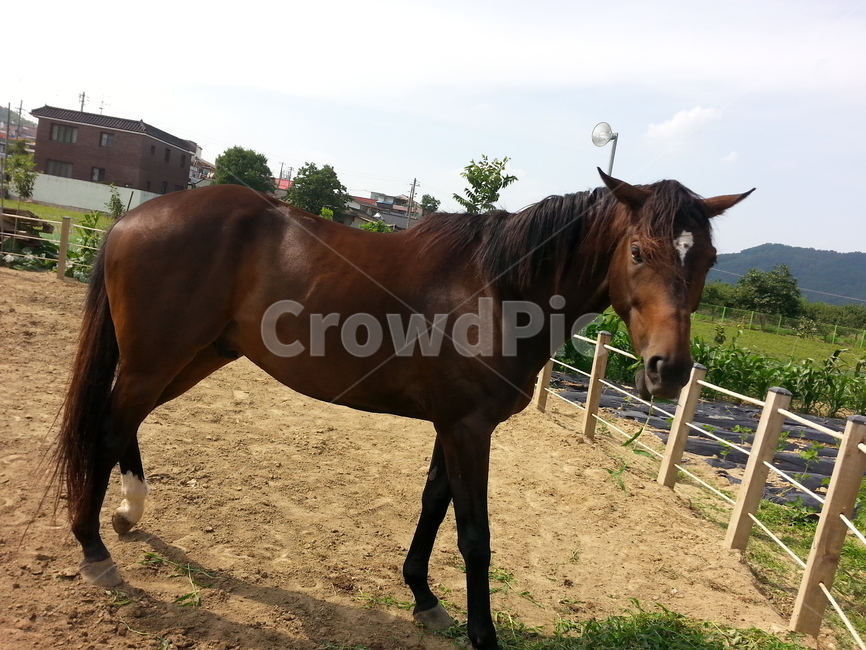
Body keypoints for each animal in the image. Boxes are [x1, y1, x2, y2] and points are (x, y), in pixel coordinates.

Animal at [54, 168, 752, 649]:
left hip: (194, 357)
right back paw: (94, 549)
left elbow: (433, 502)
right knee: (108, 428)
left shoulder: (453, 424)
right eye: (638, 252)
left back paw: (128, 513)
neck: (499, 287)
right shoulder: (469, 428)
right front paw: (482, 633)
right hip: (158, 359)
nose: (669, 370)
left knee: (125, 424)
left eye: (708, 258)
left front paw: (422, 596)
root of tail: (134, 217)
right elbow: (475, 535)